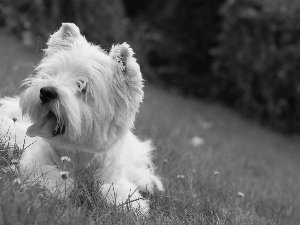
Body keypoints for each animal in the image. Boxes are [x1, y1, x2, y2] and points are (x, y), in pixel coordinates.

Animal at [0, 23, 162, 214]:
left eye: (83, 87)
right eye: (53, 73)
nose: (46, 92)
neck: (77, 153)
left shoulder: (115, 178)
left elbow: (115, 192)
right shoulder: (34, 160)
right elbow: (49, 174)